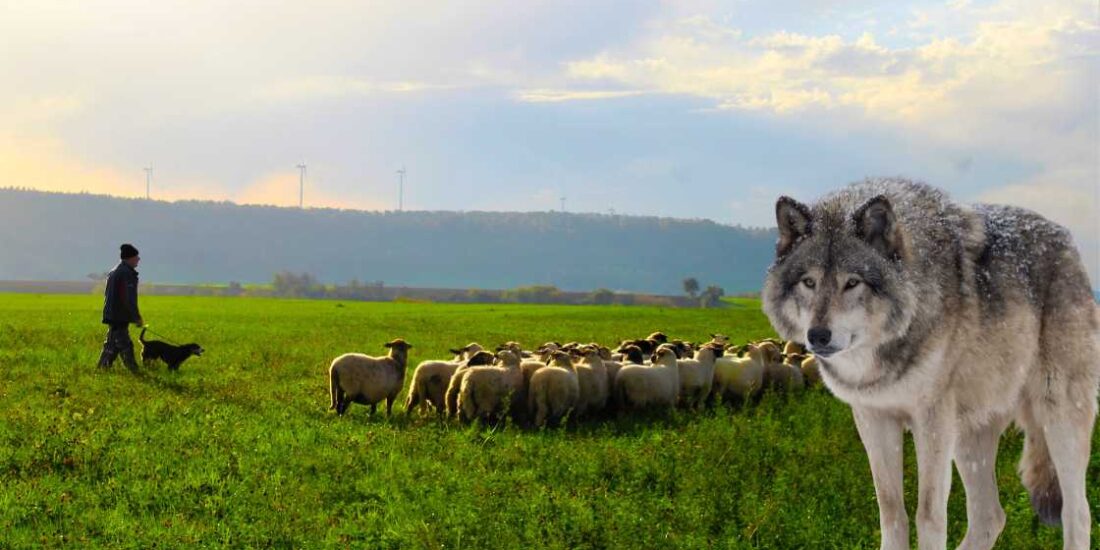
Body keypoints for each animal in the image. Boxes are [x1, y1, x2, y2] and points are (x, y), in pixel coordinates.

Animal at [761, 178, 1098, 550]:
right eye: (809, 282)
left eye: (852, 282)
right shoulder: (873, 418)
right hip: (970, 436)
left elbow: (928, 515)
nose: (818, 336)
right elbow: (891, 510)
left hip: (1057, 417)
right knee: (990, 518)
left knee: (1078, 512)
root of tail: (1066, 240)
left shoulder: (931, 421)